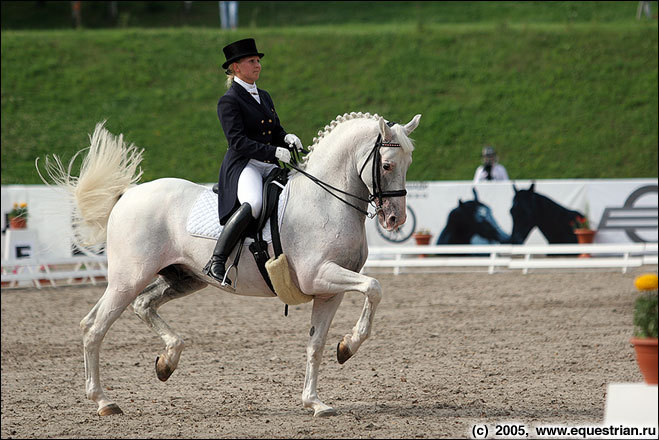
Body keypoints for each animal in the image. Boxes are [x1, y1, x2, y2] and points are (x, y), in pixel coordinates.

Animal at [38, 110, 420, 416]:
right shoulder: (319, 276)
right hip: (127, 278)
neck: (325, 200)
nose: (395, 219)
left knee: (143, 305)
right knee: (94, 327)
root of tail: (126, 195)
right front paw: (348, 347)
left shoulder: (329, 291)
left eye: (408, 164)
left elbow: (317, 343)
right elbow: (375, 287)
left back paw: (167, 361)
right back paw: (104, 401)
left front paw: (320, 392)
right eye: (387, 165)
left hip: (183, 278)